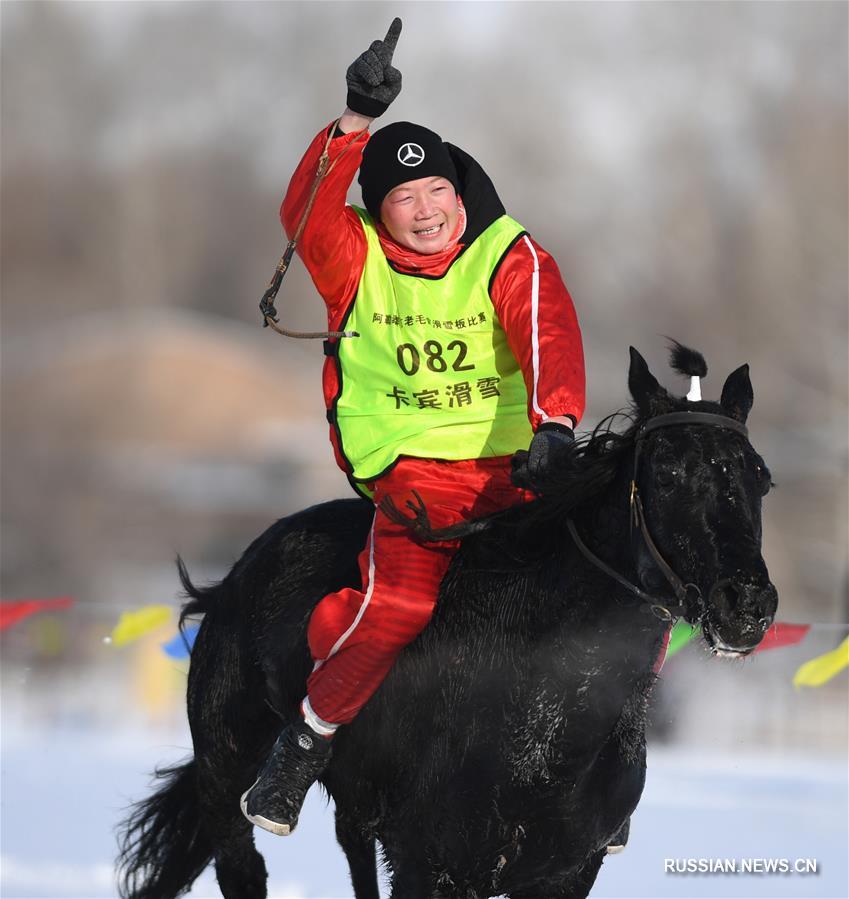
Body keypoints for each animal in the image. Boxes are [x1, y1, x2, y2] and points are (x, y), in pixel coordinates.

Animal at [117, 346, 776, 899]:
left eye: (760, 478)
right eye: (666, 476)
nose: (746, 605)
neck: (546, 706)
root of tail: (241, 570)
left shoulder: (565, 872)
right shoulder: (430, 864)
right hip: (225, 771)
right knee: (242, 864)